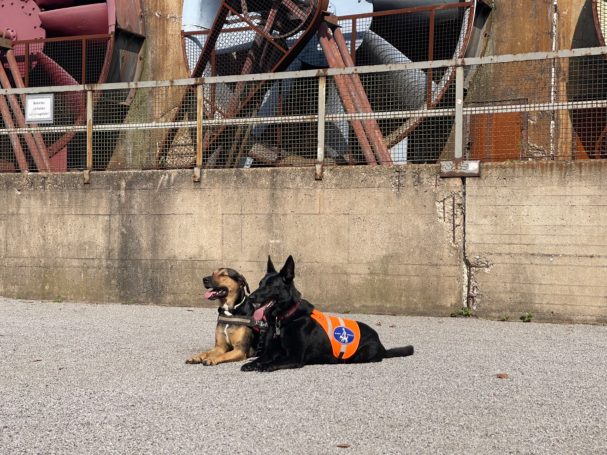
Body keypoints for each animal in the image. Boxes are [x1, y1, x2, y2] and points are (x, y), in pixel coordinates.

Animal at [241, 255, 414, 372]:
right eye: (260, 284)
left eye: (270, 286)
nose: (250, 297)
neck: (285, 318)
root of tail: (381, 345)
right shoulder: (271, 351)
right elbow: (260, 358)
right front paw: (251, 363)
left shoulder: (294, 357)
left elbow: (273, 362)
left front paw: (264, 366)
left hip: (360, 355)